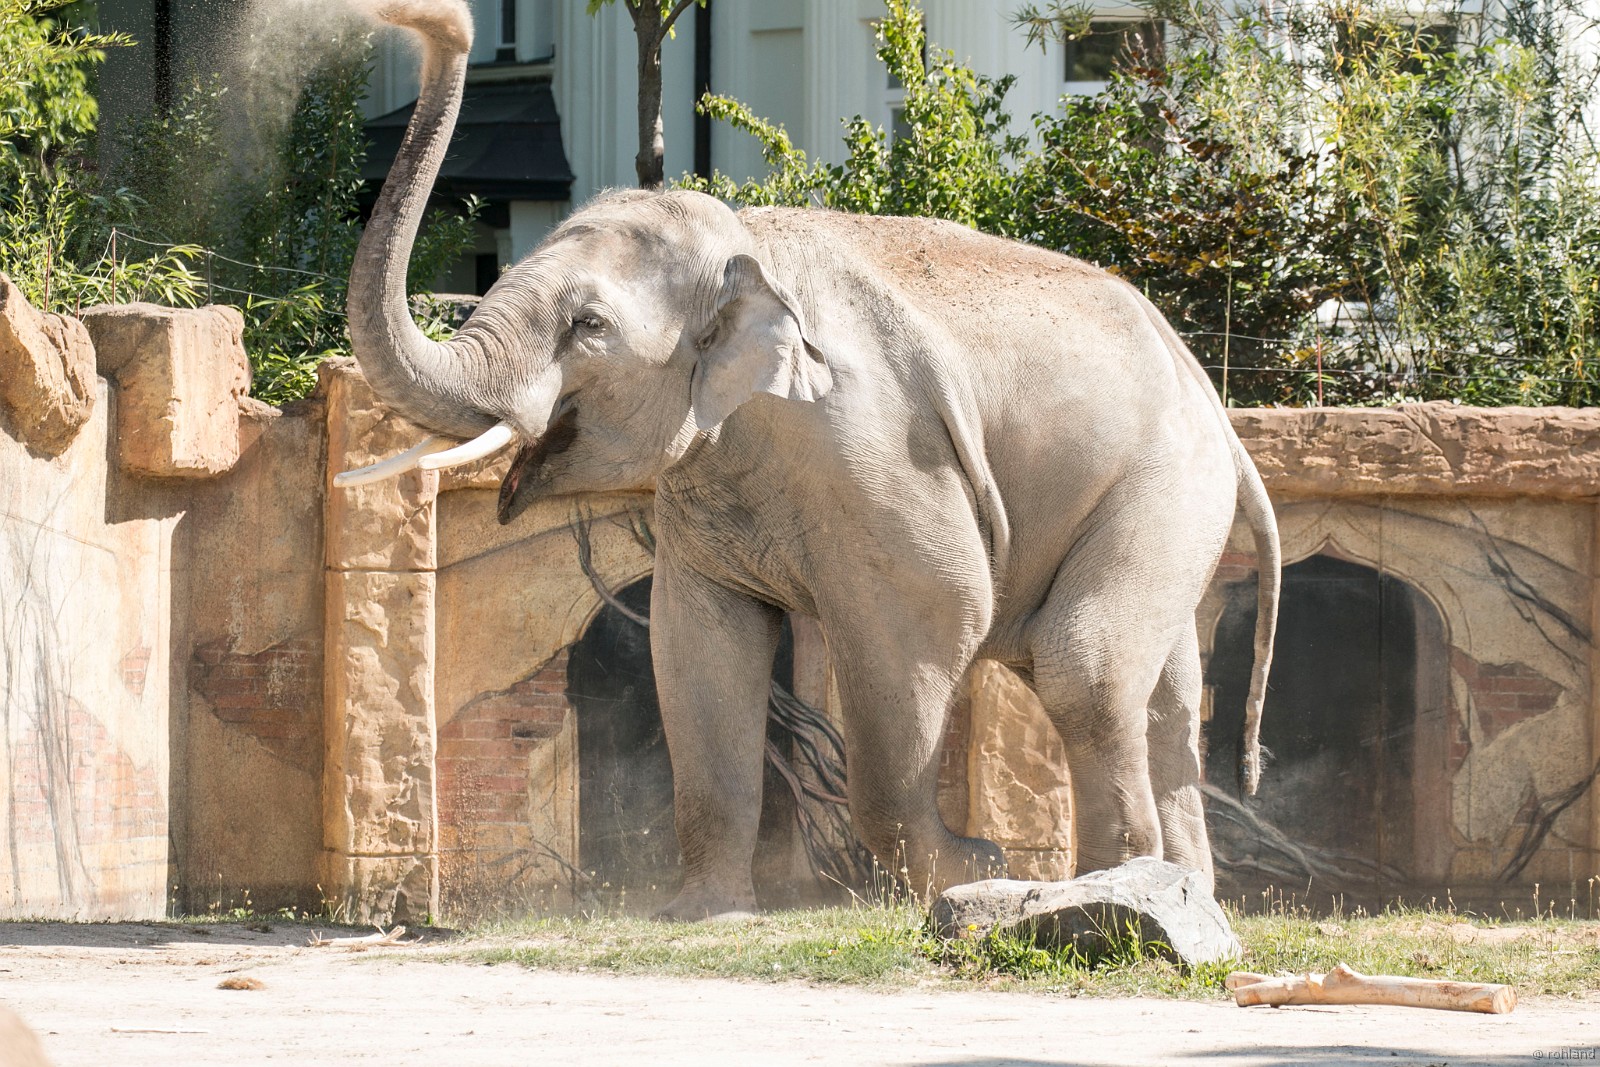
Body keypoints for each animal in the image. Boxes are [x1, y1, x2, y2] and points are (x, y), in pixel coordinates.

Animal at [336, 0, 1281, 919]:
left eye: (589, 326)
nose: (436, 22)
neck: (746, 246)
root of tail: (1215, 398)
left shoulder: (883, 455)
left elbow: (932, 621)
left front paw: (972, 865)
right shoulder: (704, 491)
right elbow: (696, 649)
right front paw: (703, 915)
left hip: (1166, 484)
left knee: (1084, 667)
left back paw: (1110, 887)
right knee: (1163, 698)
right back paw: (1180, 888)